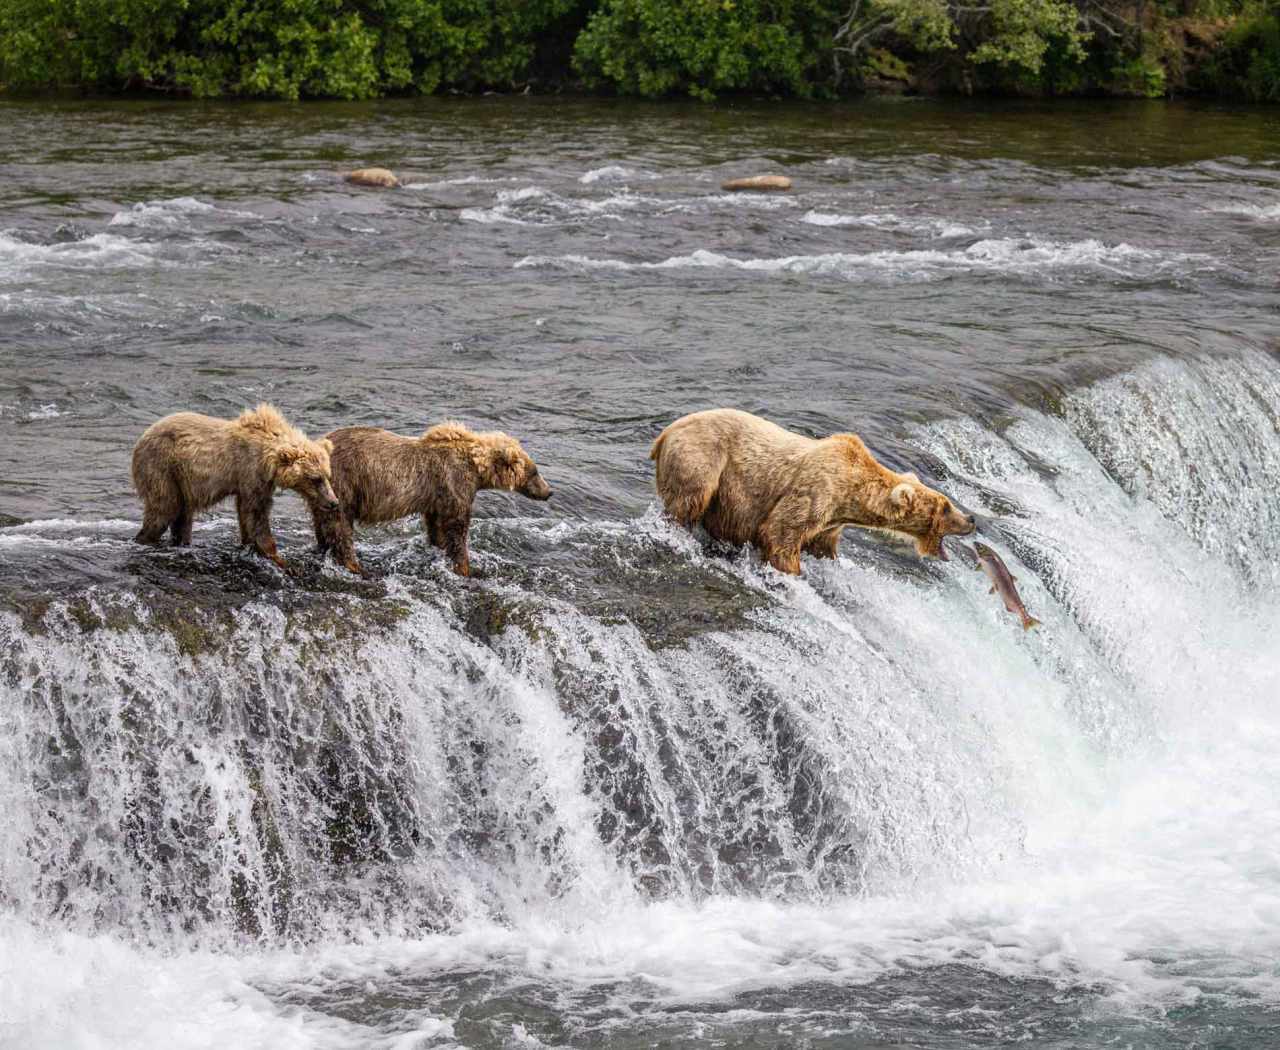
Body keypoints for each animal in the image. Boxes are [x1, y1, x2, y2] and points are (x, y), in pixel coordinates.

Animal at [131, 404, 339, 569]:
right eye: (315, 478)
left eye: (328, 476)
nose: (333, 502)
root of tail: (141, 439)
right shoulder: (251, 471)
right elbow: (256, 513)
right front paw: (280, 559)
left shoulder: (254, 481)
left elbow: (246, 514)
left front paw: (248, 545)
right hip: (162, 467)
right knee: (164, 509)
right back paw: (145, 540)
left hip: (182, 481)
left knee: (182, 516)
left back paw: (181, 542)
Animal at [311, 421, 552, 577]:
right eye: (535, 472)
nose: (549, 492)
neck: (477, 470)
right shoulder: (455, 482)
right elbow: (457, 527)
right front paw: (466, 567)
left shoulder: (437, 496)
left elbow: (437, 524)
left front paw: (439, 545)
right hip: (345, 483)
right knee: (340, 523)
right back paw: (356, 566)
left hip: (322, 491)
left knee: (322, 520)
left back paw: (323, 548)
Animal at [650, 408, 975, 575]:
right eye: (946, 506)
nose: (971, 519)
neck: (852, 495)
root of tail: (664, 434)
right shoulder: (817, 490)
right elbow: (780, 533)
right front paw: (792, 570)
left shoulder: (831, 522)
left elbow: (822, 546)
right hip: (703, 459)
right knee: (689, 500)